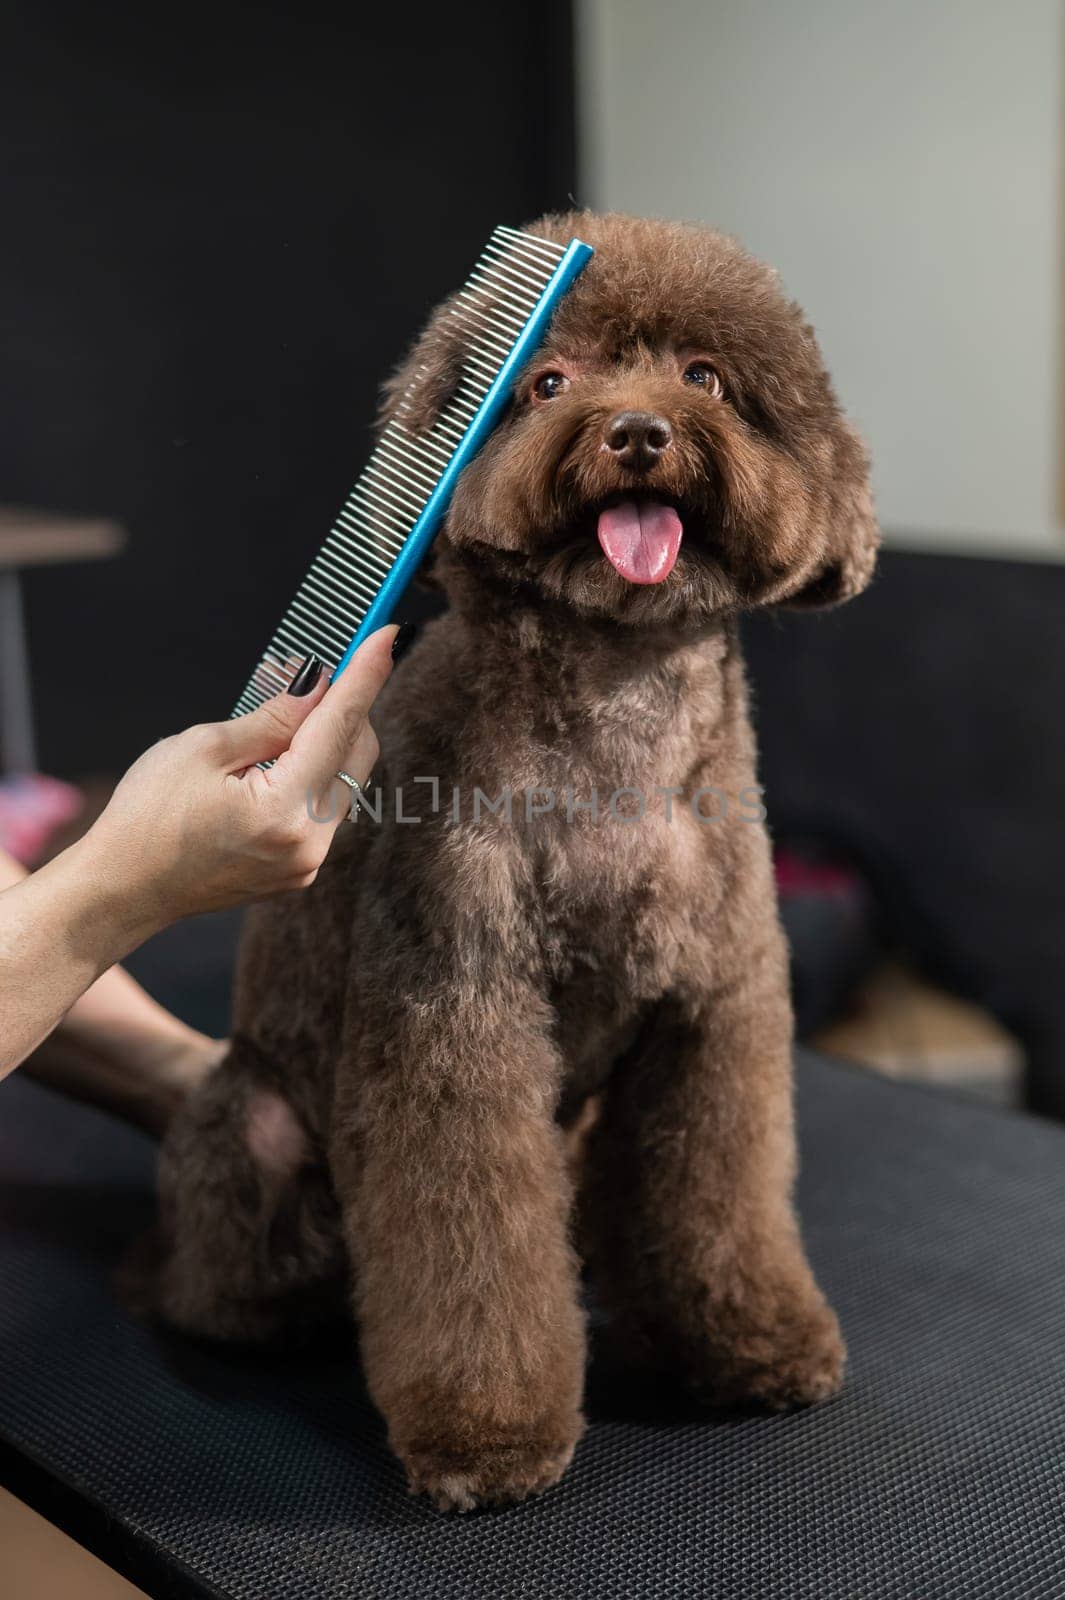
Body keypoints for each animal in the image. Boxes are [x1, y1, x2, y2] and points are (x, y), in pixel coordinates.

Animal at [151, 212, 876, 1510]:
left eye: (706, 379)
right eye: (547, 382)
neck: (619, 696)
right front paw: (486, 1432)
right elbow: (468, 1230)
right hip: (258, 1128)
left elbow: (724, 1192)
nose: (636, 432)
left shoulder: (716, 1010)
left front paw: (753, 1341)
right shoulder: (455, 1001)